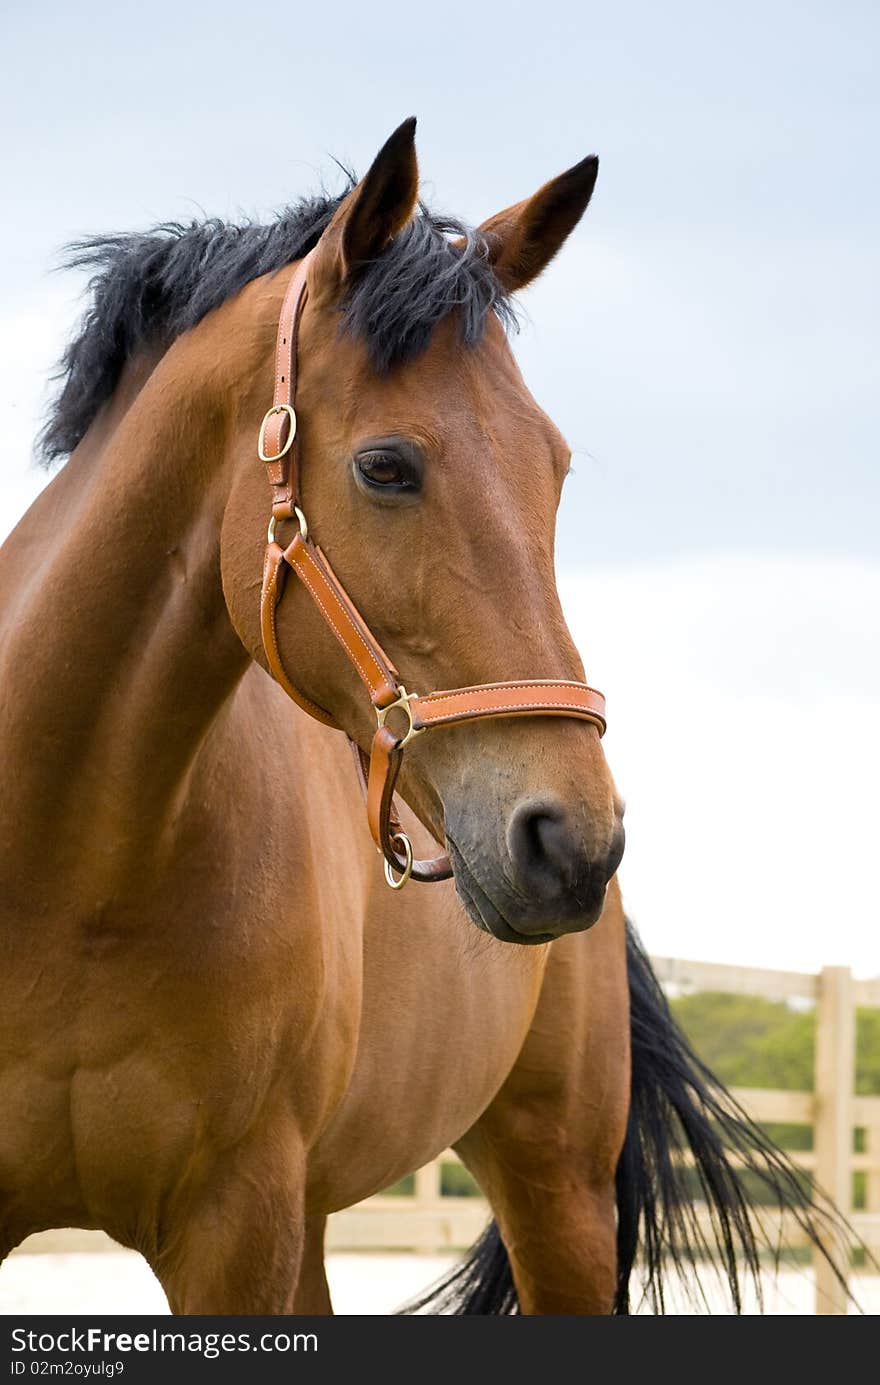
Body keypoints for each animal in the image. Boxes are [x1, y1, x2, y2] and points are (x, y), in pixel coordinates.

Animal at [0, 116, 842, 1307]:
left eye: (556, 468)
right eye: (386, 465)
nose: (571, 838)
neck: (72, 867)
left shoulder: (235, 1228)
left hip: (555, 1184)